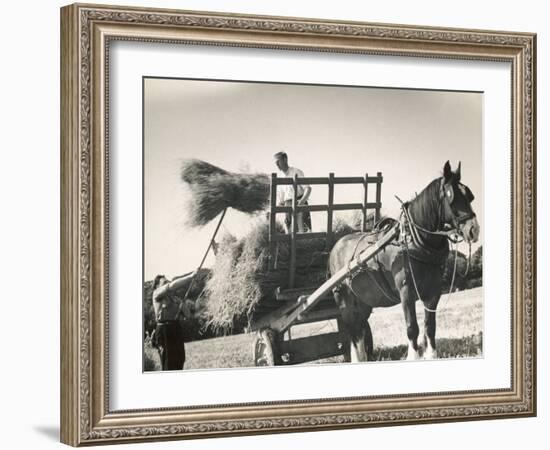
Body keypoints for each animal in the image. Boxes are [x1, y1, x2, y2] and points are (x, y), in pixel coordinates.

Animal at [330, 162, 480, 362]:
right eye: (452, 197)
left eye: (469, 196)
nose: (474, 230)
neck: (413, 242)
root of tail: (336, 246)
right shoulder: (406, 291)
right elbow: (412, 327)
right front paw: (413, 356)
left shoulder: (434, 291)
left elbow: (430, 326)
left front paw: (431, 355)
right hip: (344, 300)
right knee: (352, 329)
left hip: (362, 302)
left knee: (360, 328)